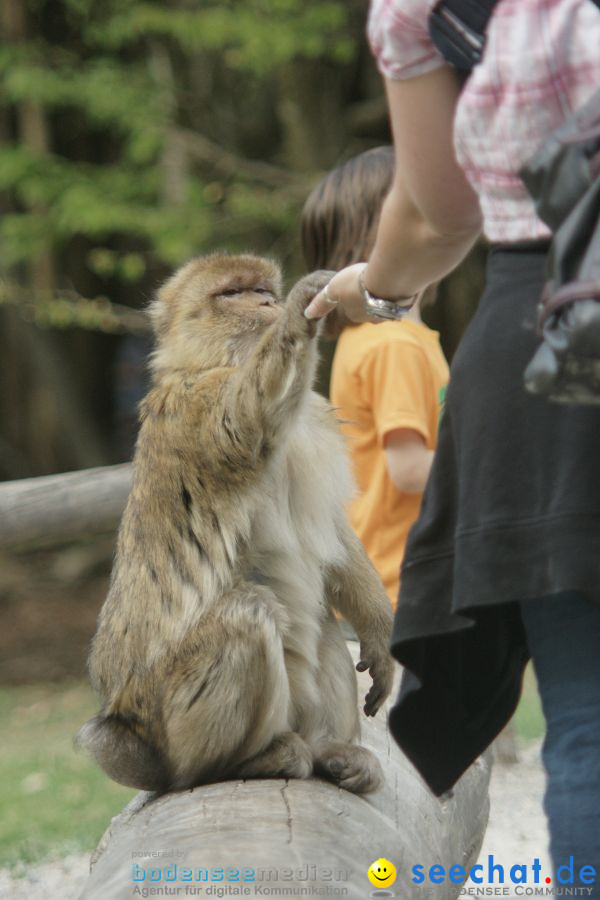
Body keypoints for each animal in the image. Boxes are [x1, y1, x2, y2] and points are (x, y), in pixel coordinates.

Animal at [76, 253, 394, 796]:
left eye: (262, 289)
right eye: (233, 293)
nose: (267, 303)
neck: (219, 363)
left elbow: (333, 534)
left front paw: (378, 630)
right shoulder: (193, 410)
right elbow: (246, 418)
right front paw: (300, 316)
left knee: (320, 621)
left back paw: (331, 751)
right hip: (173, 724)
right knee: (246, 612)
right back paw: (239, 763)